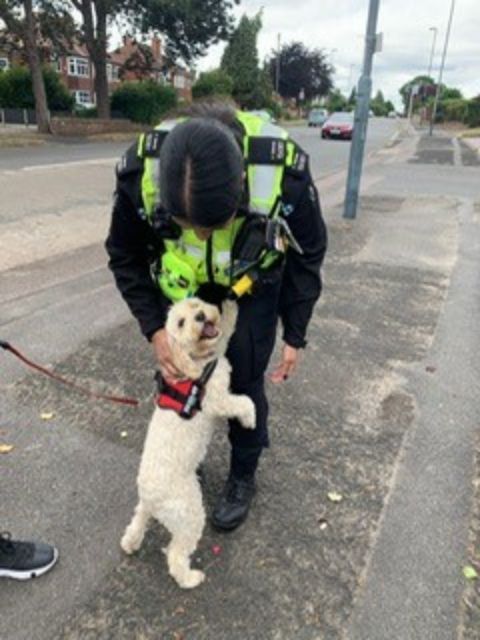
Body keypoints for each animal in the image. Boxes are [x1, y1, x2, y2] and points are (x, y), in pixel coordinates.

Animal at [120, 298, 255, 588]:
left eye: (195, 305)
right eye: (181, 323)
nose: (202, 315)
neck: (195, 362)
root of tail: (151, 495)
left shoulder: (217, 353)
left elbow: (224, 336)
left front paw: (230, 309)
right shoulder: (217, 400)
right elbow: (243, 401)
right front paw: (250, 418)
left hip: (147, 508)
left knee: (137, 521)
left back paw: (130, 543)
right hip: (190, 513)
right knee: (176, 554)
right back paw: (190, 578)